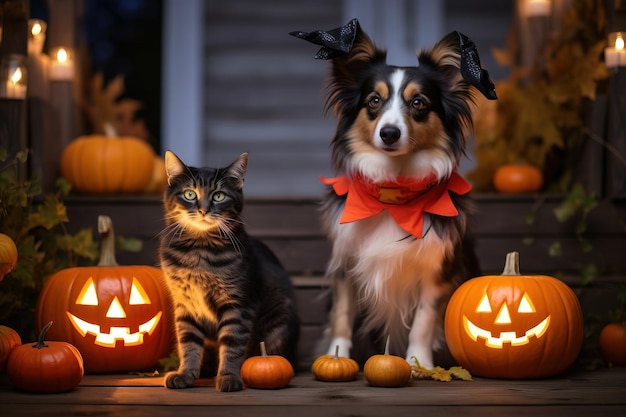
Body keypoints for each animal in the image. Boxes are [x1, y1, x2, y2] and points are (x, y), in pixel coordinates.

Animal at [160, 150, 298, 390]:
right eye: (189, 194)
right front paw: (185, 374)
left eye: (218, 196)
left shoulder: (238, 304)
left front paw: (228, 377)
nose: (203, 210)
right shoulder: (185, 304)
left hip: (278, 324)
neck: (200, 251)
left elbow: (233, 344)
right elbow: (188, 343)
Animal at [290, 19, 494, 368]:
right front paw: (336, 356)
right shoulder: (346, 262)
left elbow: (423, 321)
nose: (389, 133)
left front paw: (418, 364)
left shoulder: (438, 270)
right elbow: (342, 316)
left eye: (418, 103)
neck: (393, 191)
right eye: (374, 100)